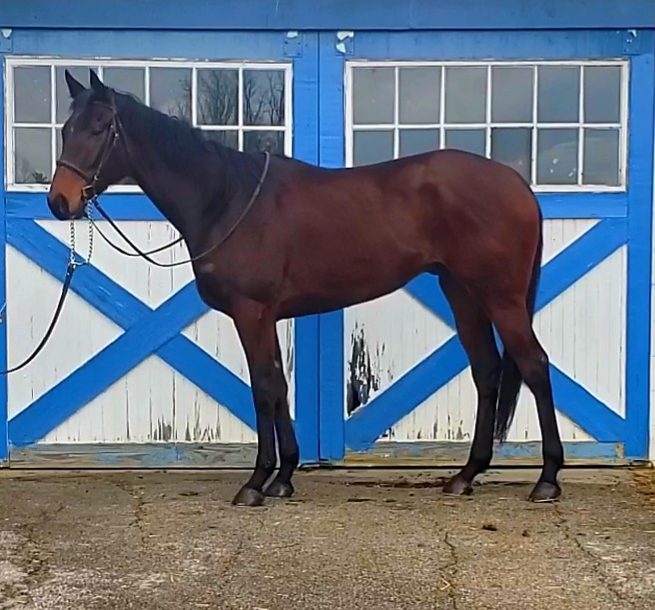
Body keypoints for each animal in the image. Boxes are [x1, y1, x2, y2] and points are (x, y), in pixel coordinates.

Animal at [47, 69, 564, 507]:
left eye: (100, 129)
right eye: (65, 129)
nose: (59, 201)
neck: (226, 198)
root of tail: (518, 184)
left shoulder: (251, 312)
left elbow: (262, 388)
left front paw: (256, 482)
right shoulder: (266, 316)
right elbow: (278, 385)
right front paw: (283, 477)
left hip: (501, 298)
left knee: (534, 365)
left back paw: (547, 479)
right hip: (462, 293)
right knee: (487, 371)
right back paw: (466, 474)